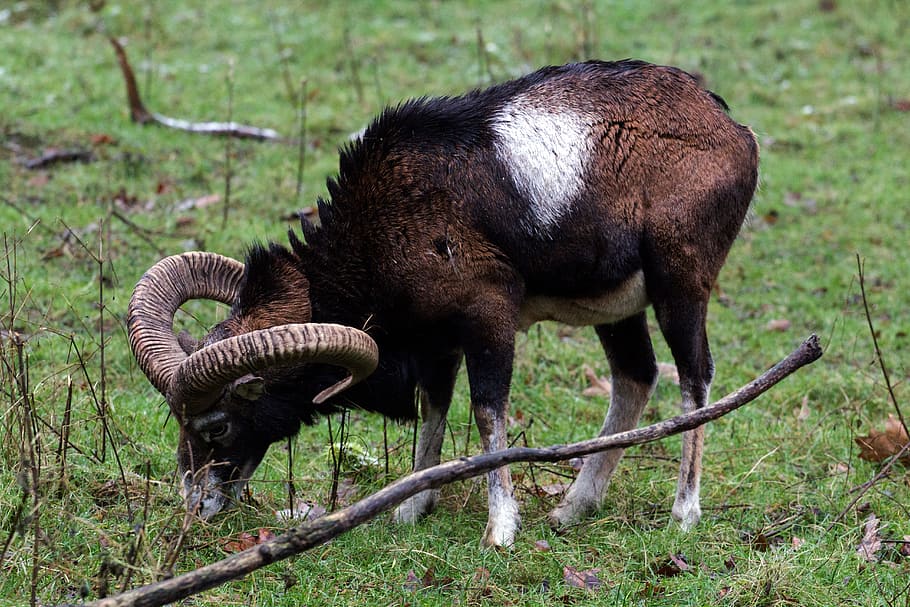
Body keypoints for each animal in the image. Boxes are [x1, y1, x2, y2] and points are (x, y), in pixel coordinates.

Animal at [127, 59, 759, 547]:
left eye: (216, 426)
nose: (196, 507)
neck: (386, 221)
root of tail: (733, 130)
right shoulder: (435, 343)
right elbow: (435, 410)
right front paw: (410, 509)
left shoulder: (488, 320)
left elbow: (487, 413)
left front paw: (499, 531)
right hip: (617, 309)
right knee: (635, 378)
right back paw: (572, 509)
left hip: (680, 287)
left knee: (695, 379)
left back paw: (683, 514)